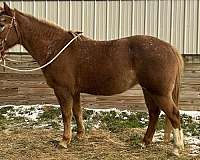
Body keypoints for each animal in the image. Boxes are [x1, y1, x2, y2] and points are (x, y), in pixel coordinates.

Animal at [0, 2, 184, 156]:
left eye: (2, 24)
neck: (55, 47)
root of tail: (170, 48)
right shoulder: (75, 91)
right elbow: (77, 111)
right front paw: (80, 135)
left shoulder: (62, 90)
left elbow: (66, 114)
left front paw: (64, 140)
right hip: (148, 90)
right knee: (154, 113)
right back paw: (145, 142)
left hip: (159, 92)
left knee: (173, 115)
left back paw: (176, 148)